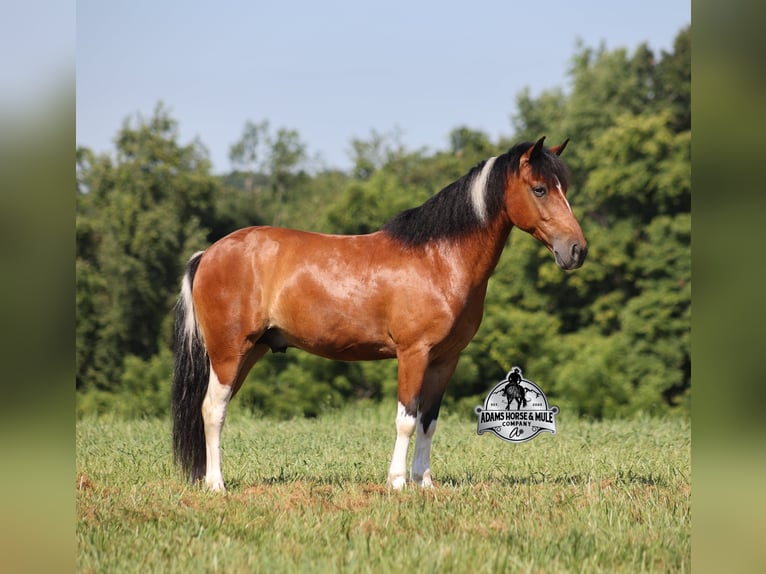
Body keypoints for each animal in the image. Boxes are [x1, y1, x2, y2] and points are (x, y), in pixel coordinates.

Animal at [172, 136, 587, 491]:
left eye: (564, 187)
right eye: (539, 188)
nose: (577, 250)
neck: (439, 260)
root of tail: (208, 253)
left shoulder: (445, 360)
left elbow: (428, 422)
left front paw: (424, 482)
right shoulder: (413, 354)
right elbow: (406, 419)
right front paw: (398, 482)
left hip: (250, 351)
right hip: (229, 352)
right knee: (212, 410)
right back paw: (216, 484)